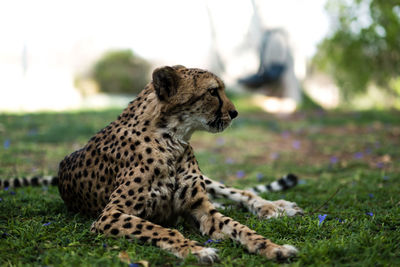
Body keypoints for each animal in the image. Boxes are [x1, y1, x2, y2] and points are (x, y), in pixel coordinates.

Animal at [0, 66, 302, 264]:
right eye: (213, 92)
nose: (235, 112)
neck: (172, 138)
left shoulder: (201, 208)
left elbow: (240, 228)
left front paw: (273, 247)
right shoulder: (109, 216)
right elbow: (161, 229)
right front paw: (196, 250)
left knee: (242, 193)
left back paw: (275, 207)